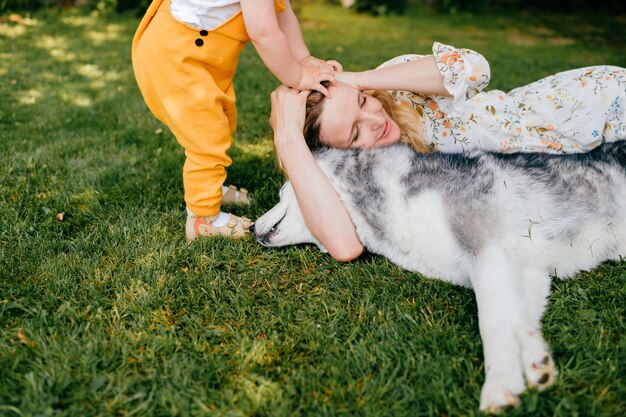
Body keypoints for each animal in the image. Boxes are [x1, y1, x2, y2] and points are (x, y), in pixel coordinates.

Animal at [252, 140, 624, 410]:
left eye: (282, 193)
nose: (253, 227)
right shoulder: (523, 268)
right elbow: (519, 322)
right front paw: (535, 362)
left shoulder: (485, 250)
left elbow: (492, 324)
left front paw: (500, 385)